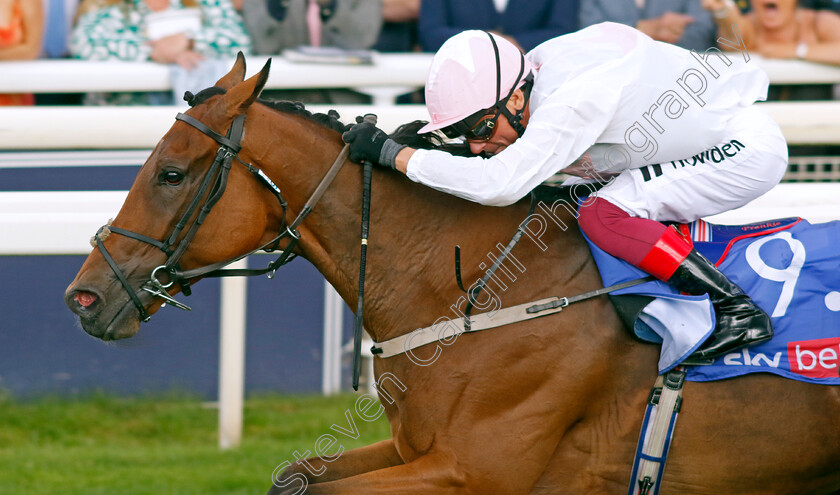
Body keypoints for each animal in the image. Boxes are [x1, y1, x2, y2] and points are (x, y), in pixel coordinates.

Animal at [67, 55, 840, 495]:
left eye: (171, 174)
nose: (84, 296)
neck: (472, 291)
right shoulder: (416, 449)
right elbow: (294, 477)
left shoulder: (476, 470)